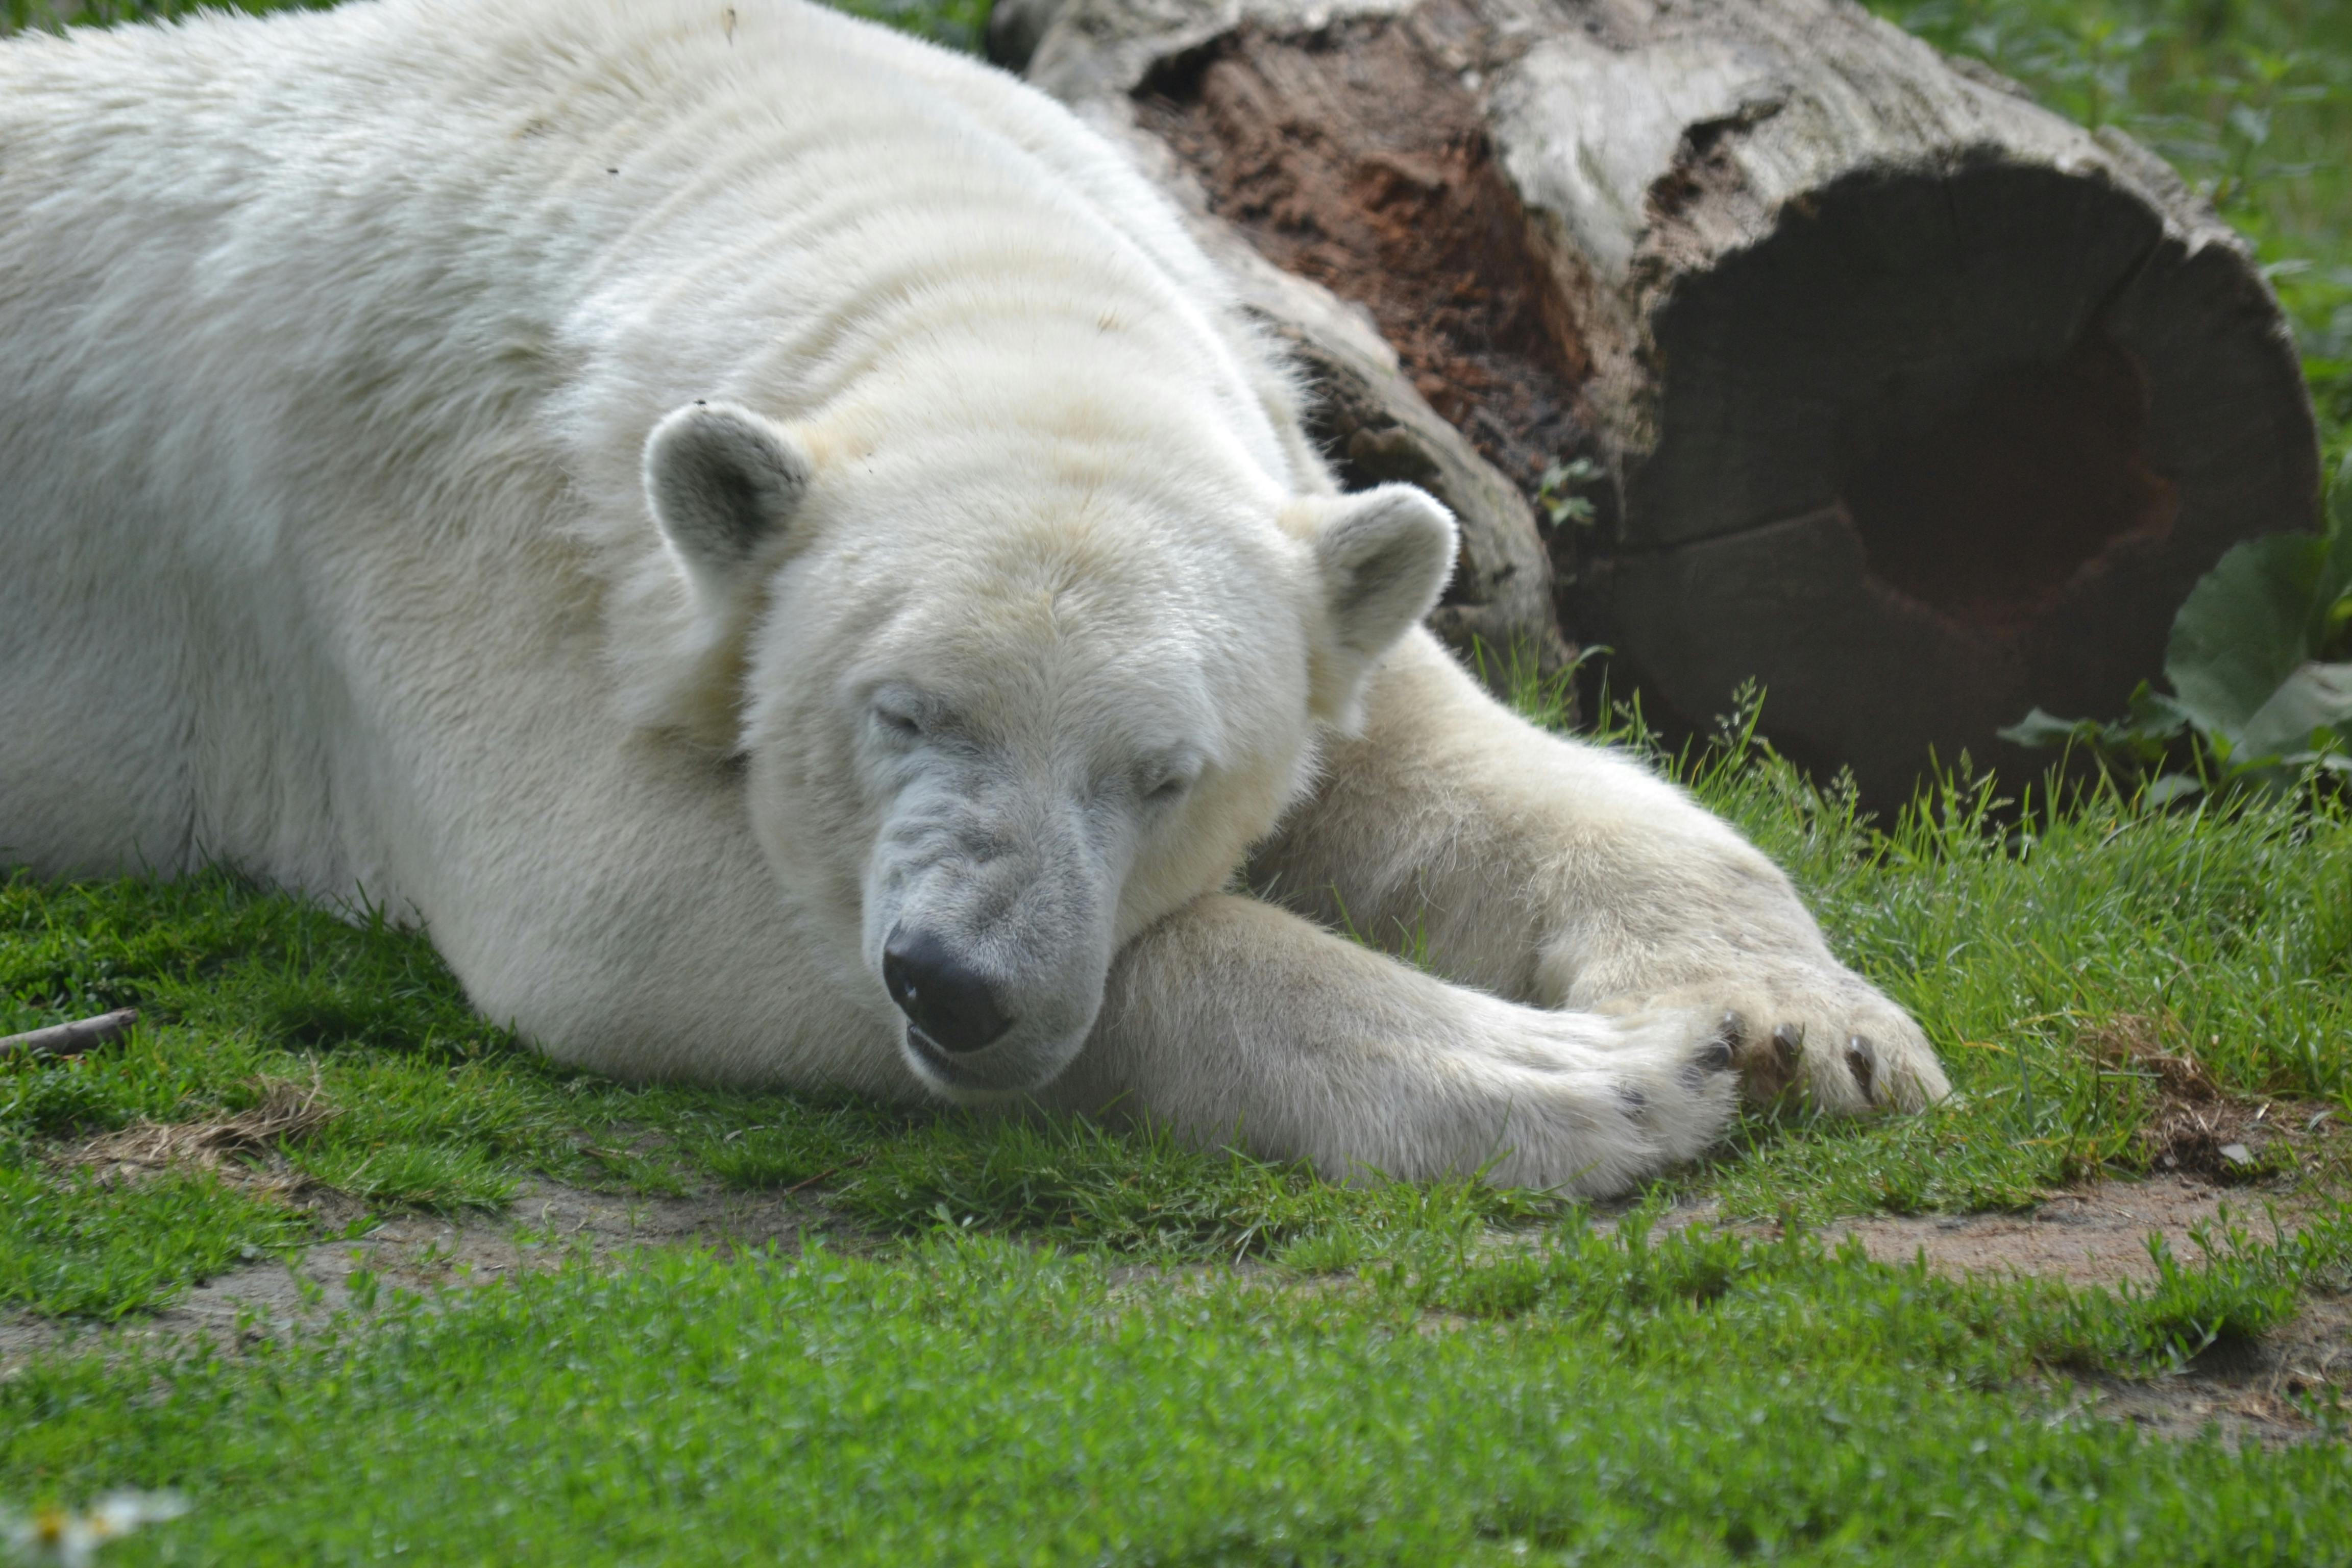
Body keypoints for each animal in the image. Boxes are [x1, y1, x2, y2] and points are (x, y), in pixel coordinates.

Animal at [0, 0, 1947, 1189]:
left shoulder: (1281, 498)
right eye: (900, 712)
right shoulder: (444, 496)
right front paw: (1594, 1077)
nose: (958, 989)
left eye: (1160, 771)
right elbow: (604, 901)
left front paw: (1801, 1029)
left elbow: (1447, 770)